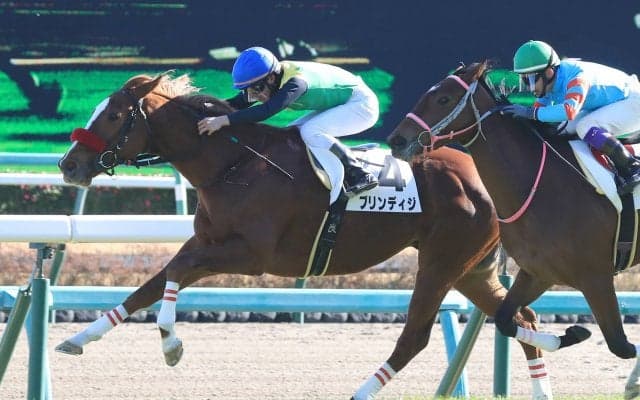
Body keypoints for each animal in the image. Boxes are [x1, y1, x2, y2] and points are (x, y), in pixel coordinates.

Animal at [57, 72, 548, 399]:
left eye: (113, 115)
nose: (68, 164)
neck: (231, 163)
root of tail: (484, 176)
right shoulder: (207, 242)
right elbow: (148, 286)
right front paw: (79, 338)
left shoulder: (252, 256)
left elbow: (176, 271)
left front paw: (171, 343)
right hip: (470, 268)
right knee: (522, 320)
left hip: (441, 262)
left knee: (415, 337)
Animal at [385, 60, 640, 397]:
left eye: (444, 99)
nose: (396, 140)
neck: (541, 184)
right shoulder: (538, 272)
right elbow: (507, 320)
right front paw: (575, 332)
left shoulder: (596, 277)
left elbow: (620, 345)